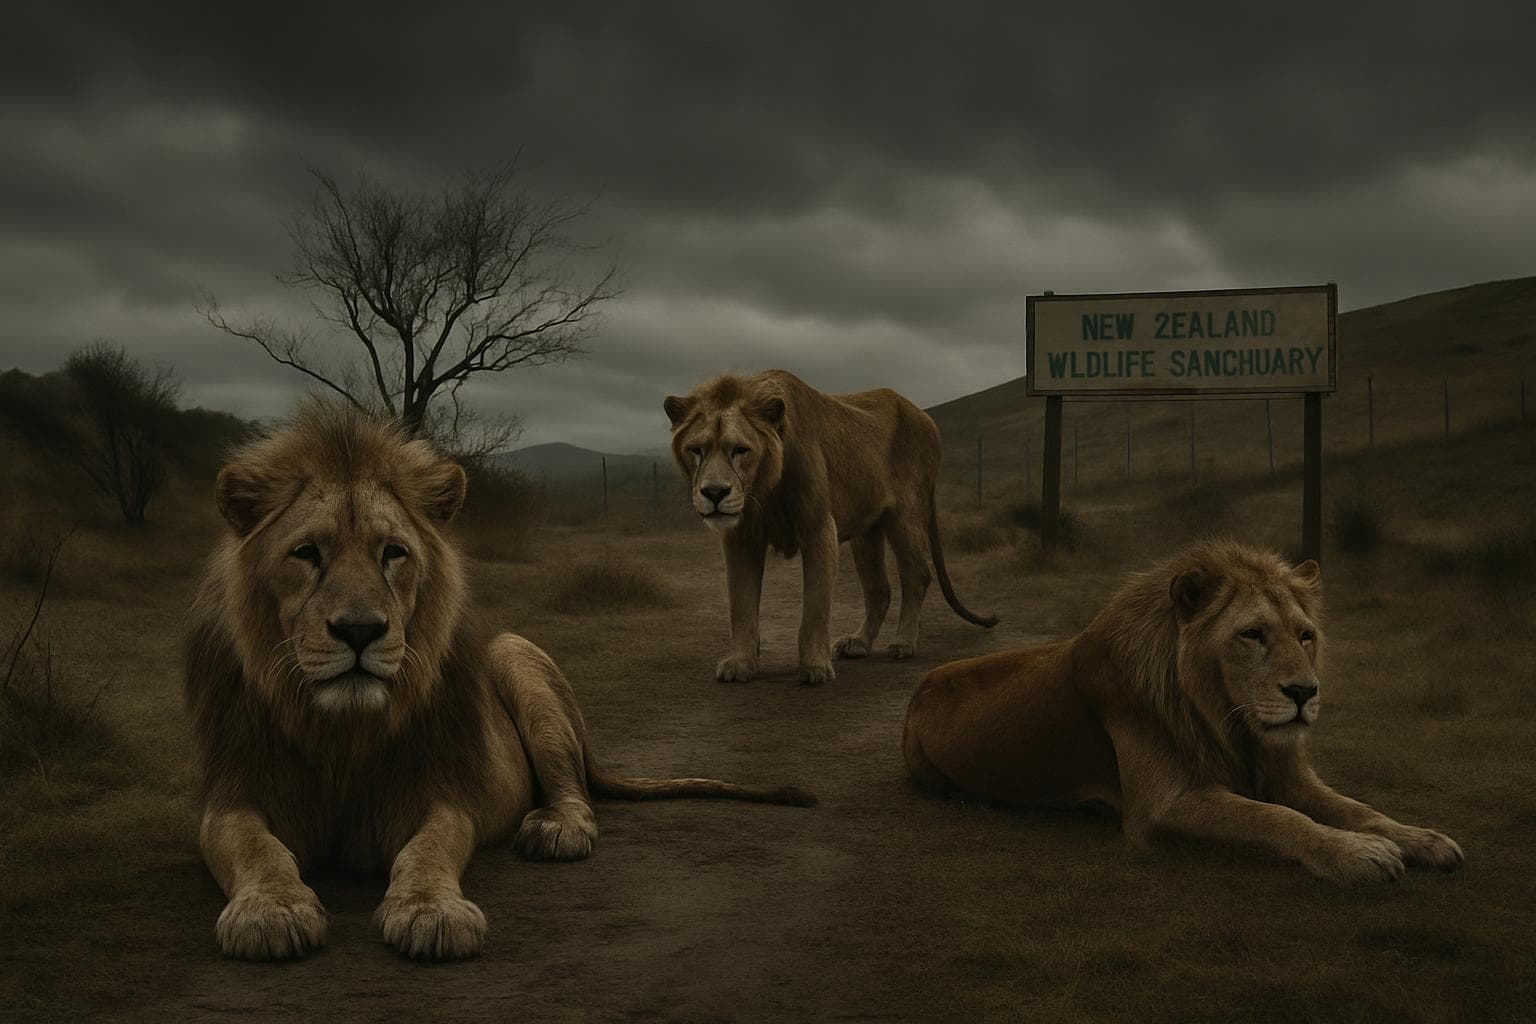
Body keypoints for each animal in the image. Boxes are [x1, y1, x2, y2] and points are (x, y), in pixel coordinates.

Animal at [183, 402, 814, 962]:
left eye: (393, 553)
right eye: (306, 553)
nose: (360, 631)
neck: (343, 730)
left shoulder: (442, 793)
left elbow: (428, 851)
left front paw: (430, 910)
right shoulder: (232, 795)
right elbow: (256, 848)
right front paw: (272, 911)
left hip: (514, 655)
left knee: (576, 792)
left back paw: (555, 830)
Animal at [663, 370, 997, 686]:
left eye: (740, 450)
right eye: (696, 449)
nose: (714, 493)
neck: (765, 487)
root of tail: (926, 416)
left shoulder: (819, 528)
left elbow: (815, 606)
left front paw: (814, 667)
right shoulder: (742, 538)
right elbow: (741, 604)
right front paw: (741, 663)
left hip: (906, 515)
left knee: (917, 576)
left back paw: (903, 643)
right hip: (867, 531)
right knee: (879, 589)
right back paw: (859, 643)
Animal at [902, 540, 1463, 882]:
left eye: (1306, 635)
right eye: (1252, 634)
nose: (1305, 692)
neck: (1231, 722)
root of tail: (921, 683)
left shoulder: (1288, 775)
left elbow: (1355, 808)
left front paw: (1421, 837)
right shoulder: (1160, 808)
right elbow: (1277, 817)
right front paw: (1358, 853)